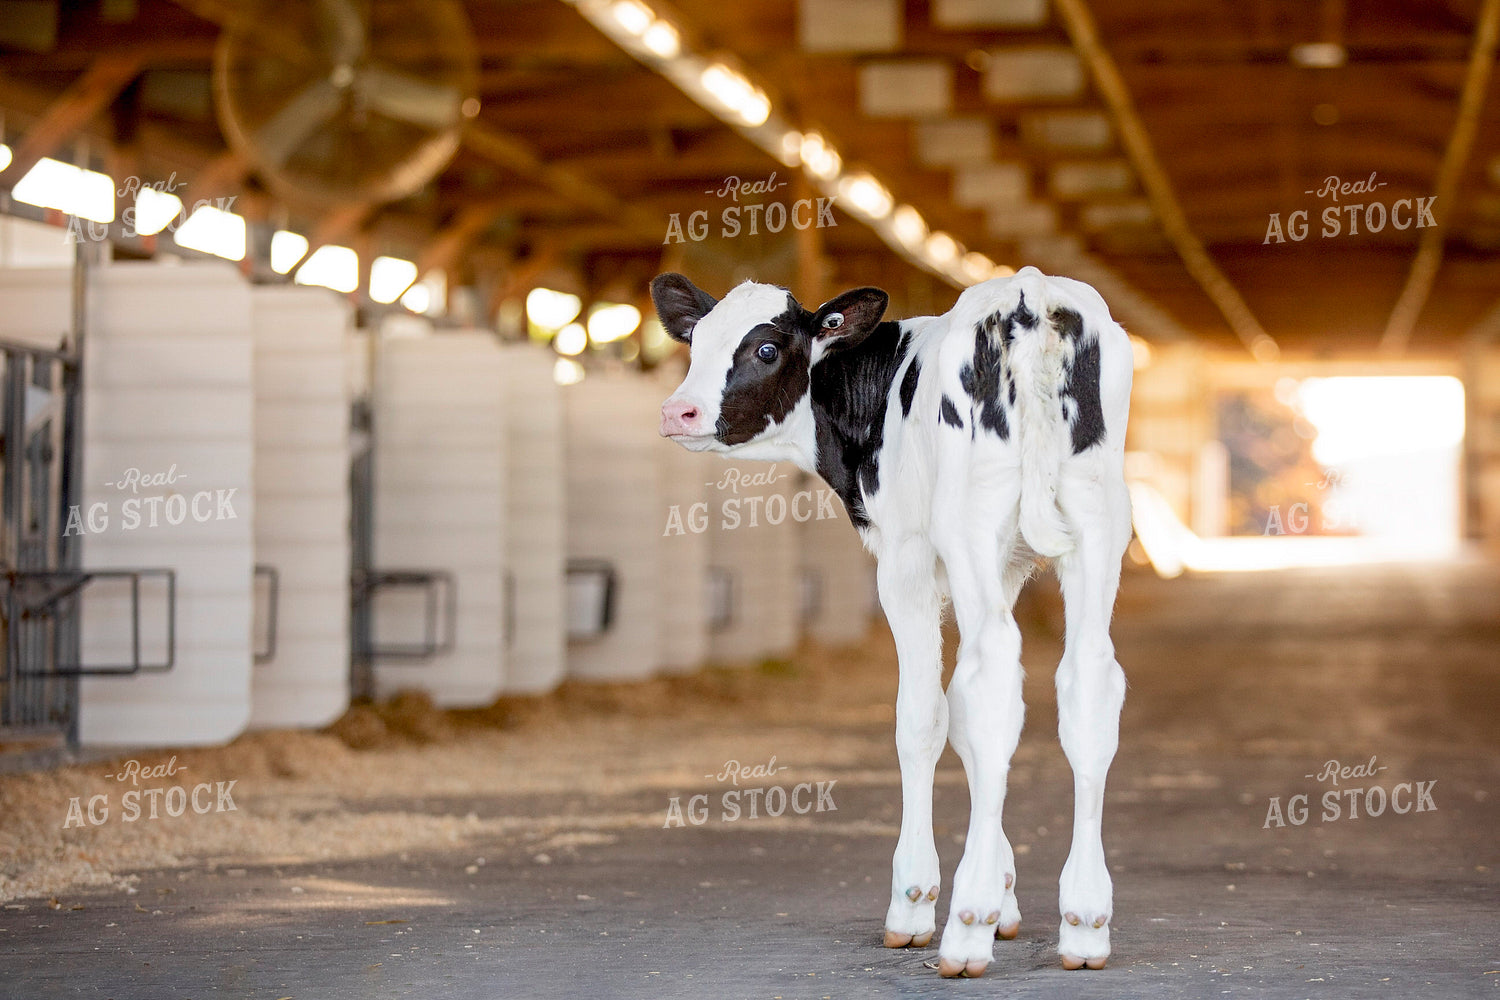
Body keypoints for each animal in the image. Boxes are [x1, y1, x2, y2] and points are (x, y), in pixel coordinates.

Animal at [651, 266, 1132, 978]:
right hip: (1097, 525)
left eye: (766, 348)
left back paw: (966, 926)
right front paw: (1008, 894)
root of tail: (1029, 294)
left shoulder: (906, 558)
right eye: (696, 341)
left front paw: (920, 901)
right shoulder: (1006, 567)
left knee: (989, 678)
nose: (676, 411)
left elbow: (925, 717)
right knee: (1084, 684)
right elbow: (973, 732)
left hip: (969, 524)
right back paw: (1085, 922)